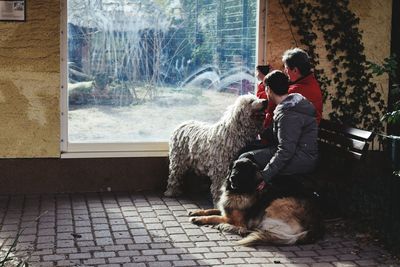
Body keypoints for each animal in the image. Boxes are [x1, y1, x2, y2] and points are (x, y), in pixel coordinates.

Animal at [189, 157, 324, 247]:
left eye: (243, 171)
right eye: (234, 168)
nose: (232, 177)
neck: (243, 191)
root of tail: (315, 226)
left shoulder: (235, 219)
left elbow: (214, 216)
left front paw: (199, 219)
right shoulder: (226, 209)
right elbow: (211, 209)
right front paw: (196, 212)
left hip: (275, 205)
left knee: (250, 230)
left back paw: (226, 226)